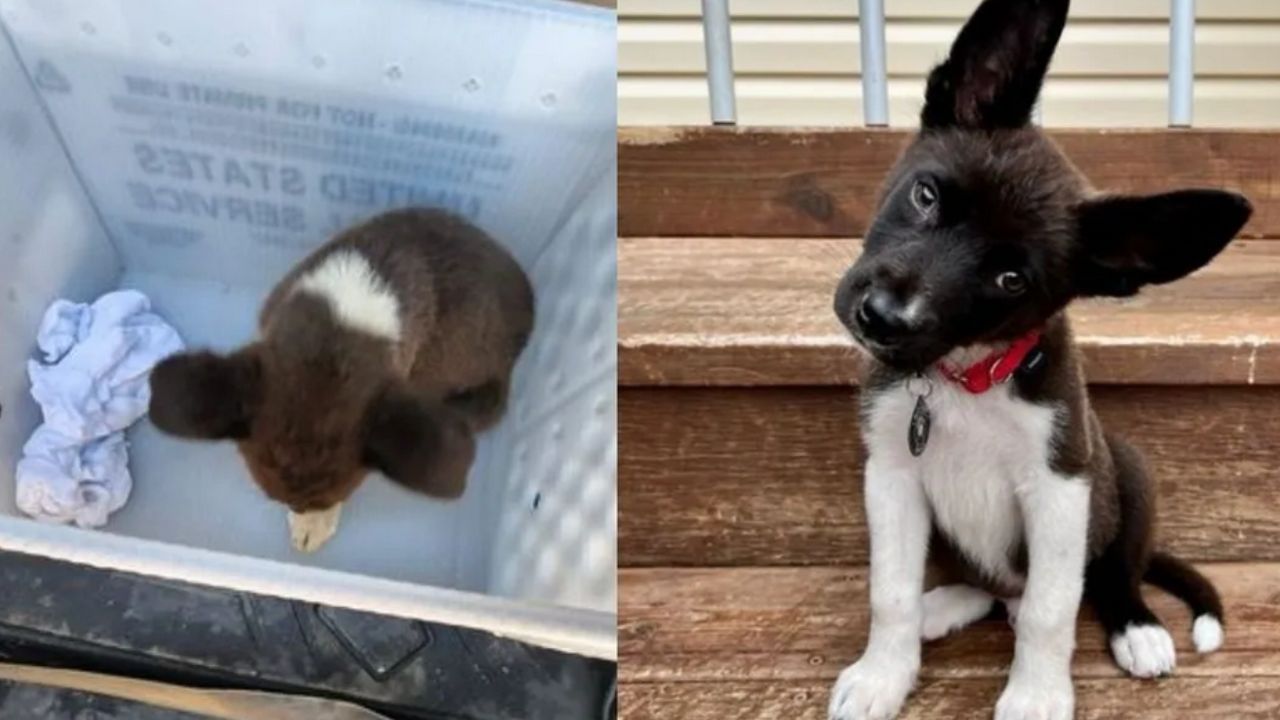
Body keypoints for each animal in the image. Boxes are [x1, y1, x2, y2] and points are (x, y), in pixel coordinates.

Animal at [824, 1, 1254, 717]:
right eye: (926, 196)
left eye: (1010, 280)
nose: (881, 317)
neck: (966, 377)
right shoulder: (890, 476)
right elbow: (889, 593)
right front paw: (884, 674)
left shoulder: (1059, 489)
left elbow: (1053, 612)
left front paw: (1036, 694)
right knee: (991, 588)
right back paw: (944, 605)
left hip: (1127, 471)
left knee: (1104, 576)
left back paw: (1136, 626)